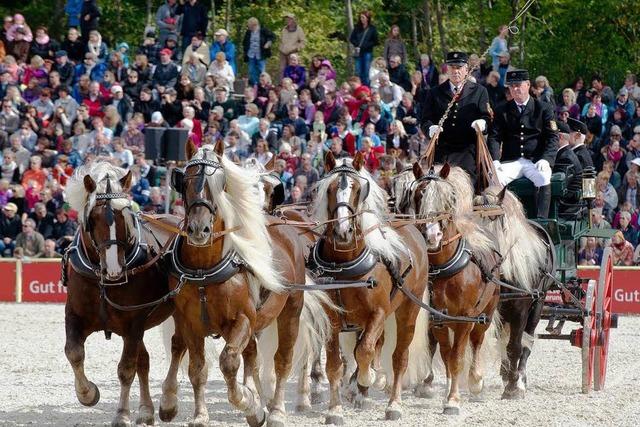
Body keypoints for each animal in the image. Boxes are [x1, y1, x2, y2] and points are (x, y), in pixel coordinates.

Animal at [64, 162, 178, 426]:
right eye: (94, 218)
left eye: (128, 215)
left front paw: (122, 413)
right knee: (145, 361)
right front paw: (87, 393)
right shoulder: (74, 315)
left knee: (179, 347)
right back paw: (146, 410)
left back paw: (168, 403)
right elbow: (74, 353)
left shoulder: (133, 324)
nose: (115, 268)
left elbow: (126, 369)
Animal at [162, 141, 328, 427]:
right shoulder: (190, 322)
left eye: (221, 183)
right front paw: (201, 414)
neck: (204, 268)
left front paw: (248, 402)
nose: (199, 229)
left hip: (290, 310)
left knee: (283, 359)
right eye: (185, 181)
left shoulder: (243, 318)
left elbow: (229, 361)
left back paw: (277, 410)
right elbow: (198, 368)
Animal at [310, 150, 430, 424]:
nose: (343, 231)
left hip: (407, 311)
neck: (344, 263)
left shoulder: (378, 312)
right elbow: (335, 365)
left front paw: (368, 378)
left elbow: (363, 352)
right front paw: (335, 409)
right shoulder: (333, 318)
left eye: (357, 189)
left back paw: (393, 402)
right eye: (329, 189)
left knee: (399, 357)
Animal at [408, 163, 502, 414]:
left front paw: (453, 399)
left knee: (477, 341)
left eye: (449, 198)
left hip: (486, 312)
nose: (432, 235)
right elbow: (448, 356)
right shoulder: (438, 320)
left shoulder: (464, 319)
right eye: (418, 194)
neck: (445, 266)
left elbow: (458, 357)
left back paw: (476, 381)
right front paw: (449, 393)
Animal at [472, 185, 556, 402]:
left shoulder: (521, 310)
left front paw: (512, 387)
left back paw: (520, 379)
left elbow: (515, 347)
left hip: (538, 304)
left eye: (496, 221)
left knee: (527, 340)